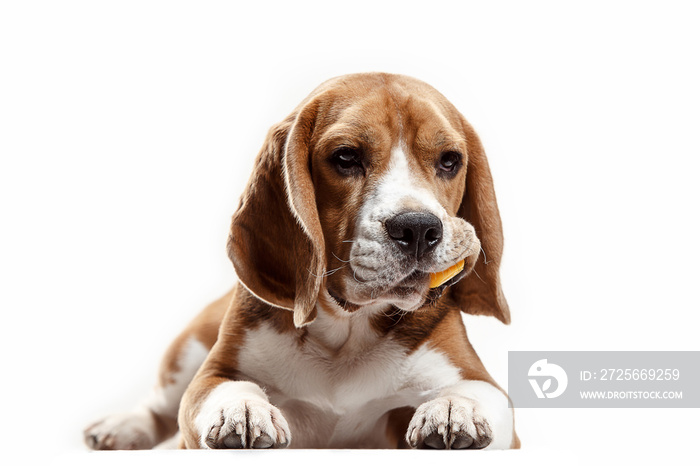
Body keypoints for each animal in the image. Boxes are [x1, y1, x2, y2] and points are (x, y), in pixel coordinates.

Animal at [85, 73, 516, 452]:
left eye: (449, 161)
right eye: (346, 157)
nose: (419, 228)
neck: (346, 329)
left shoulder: (481, 385)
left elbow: (478, 392)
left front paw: (455, 408)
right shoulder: (212, 374)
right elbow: (224, 387)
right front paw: (242, 409)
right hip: (190, 345)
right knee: (158, 406)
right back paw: (122, 427)